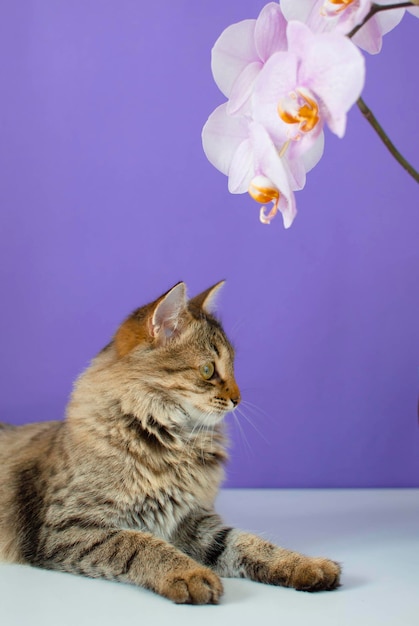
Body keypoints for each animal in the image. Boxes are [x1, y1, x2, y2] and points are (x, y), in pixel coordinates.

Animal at [0, 282, 342, 600]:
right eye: (207, 370)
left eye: (233, 367)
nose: (238, 399)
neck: (173, 443)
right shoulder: (71, 526)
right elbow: (141, 545)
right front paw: (190, 575)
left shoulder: (193, 519)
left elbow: (251, 543)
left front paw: (305, 565)